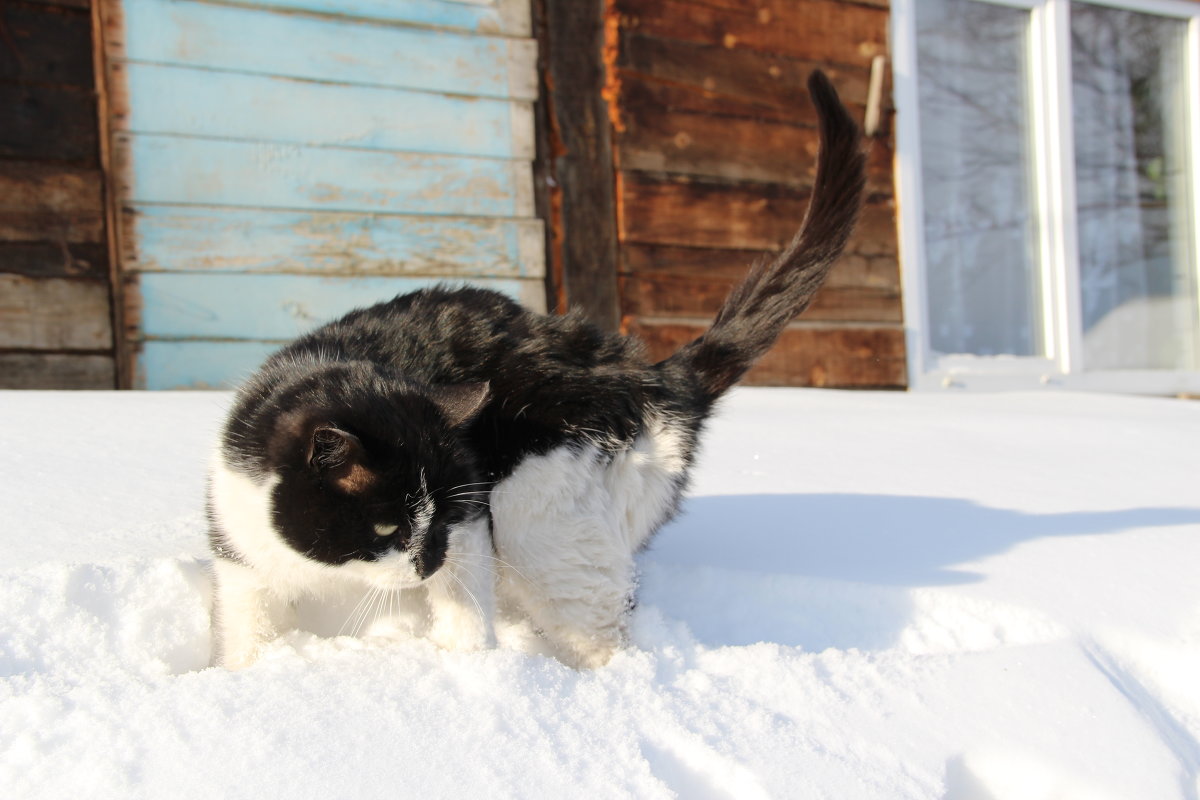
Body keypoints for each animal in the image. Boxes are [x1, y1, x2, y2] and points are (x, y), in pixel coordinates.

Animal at [204, 70, 864, 671]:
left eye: (438, 521)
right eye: (387, 527)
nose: (427, 562)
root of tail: (651, 376)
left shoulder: (472, 518)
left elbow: (466, 612)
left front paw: (468, 671)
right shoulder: (240, 549)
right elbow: (246, 634)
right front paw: (244, 678)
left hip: (540, 520)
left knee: (603, 635)